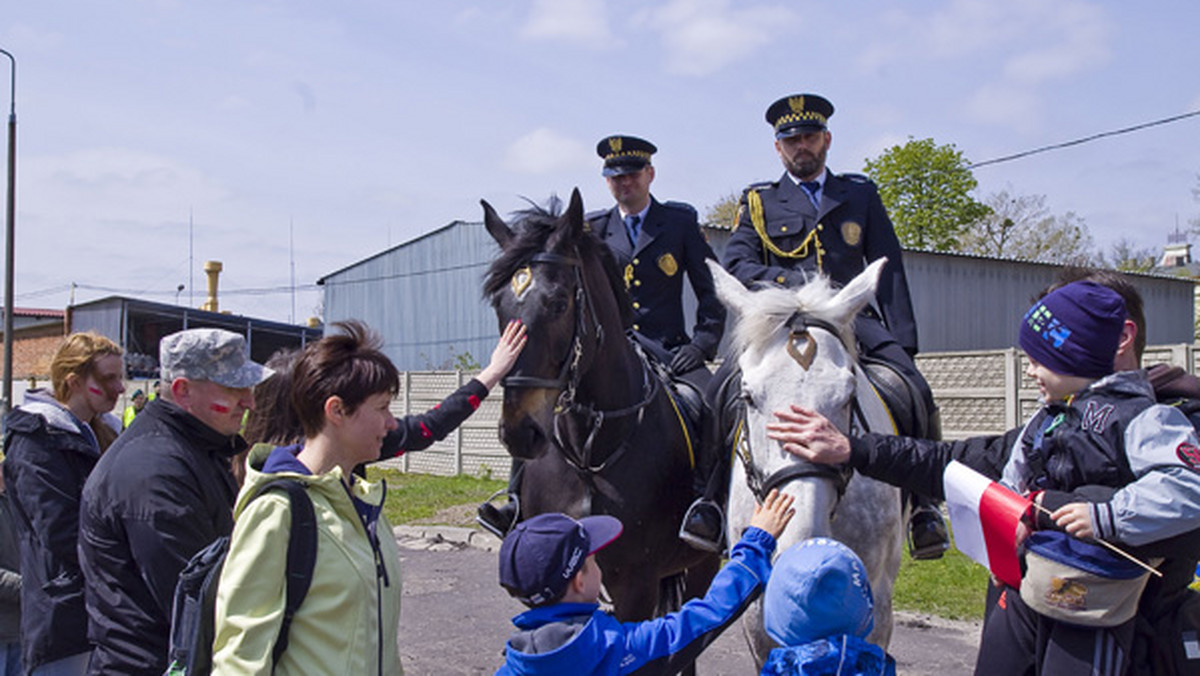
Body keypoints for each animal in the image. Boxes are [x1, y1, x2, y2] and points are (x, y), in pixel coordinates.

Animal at [480, 187, 720, 629]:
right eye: (499, 306)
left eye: (559, 303)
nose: (519, 431)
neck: (587, 450)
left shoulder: (636, 587)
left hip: (701, 564)